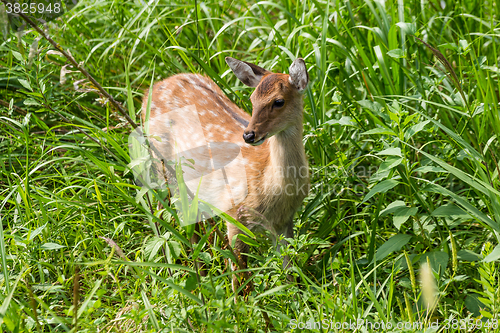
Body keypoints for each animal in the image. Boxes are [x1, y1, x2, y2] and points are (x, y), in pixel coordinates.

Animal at [141, 56, 310, 294]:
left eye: (278, 101)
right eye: (252, 99)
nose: (249, 135)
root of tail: (150, 89)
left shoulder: (284, 221)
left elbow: (288, 270)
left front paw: (294, 296)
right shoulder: (233, 211)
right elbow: (240, 275)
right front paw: (243, 303)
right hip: (163, 167)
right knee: (165, 216)